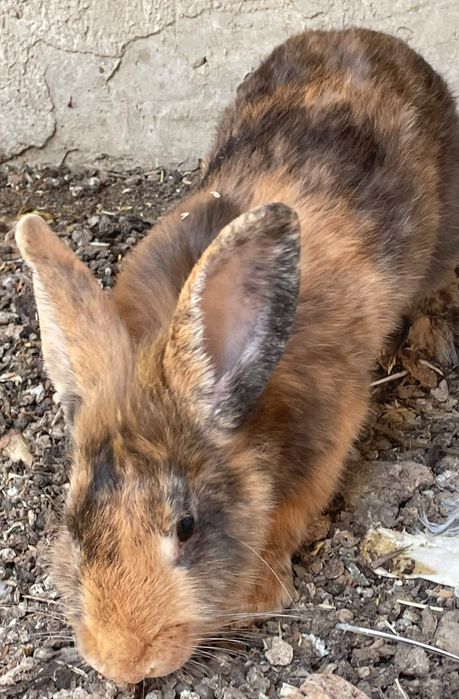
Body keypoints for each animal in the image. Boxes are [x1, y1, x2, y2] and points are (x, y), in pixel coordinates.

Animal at [15, 27, 459, 684]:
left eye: (187, 527)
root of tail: (367, 35)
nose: (123, 661)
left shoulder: (333, 428)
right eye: (75, 525)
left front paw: (257, 595)